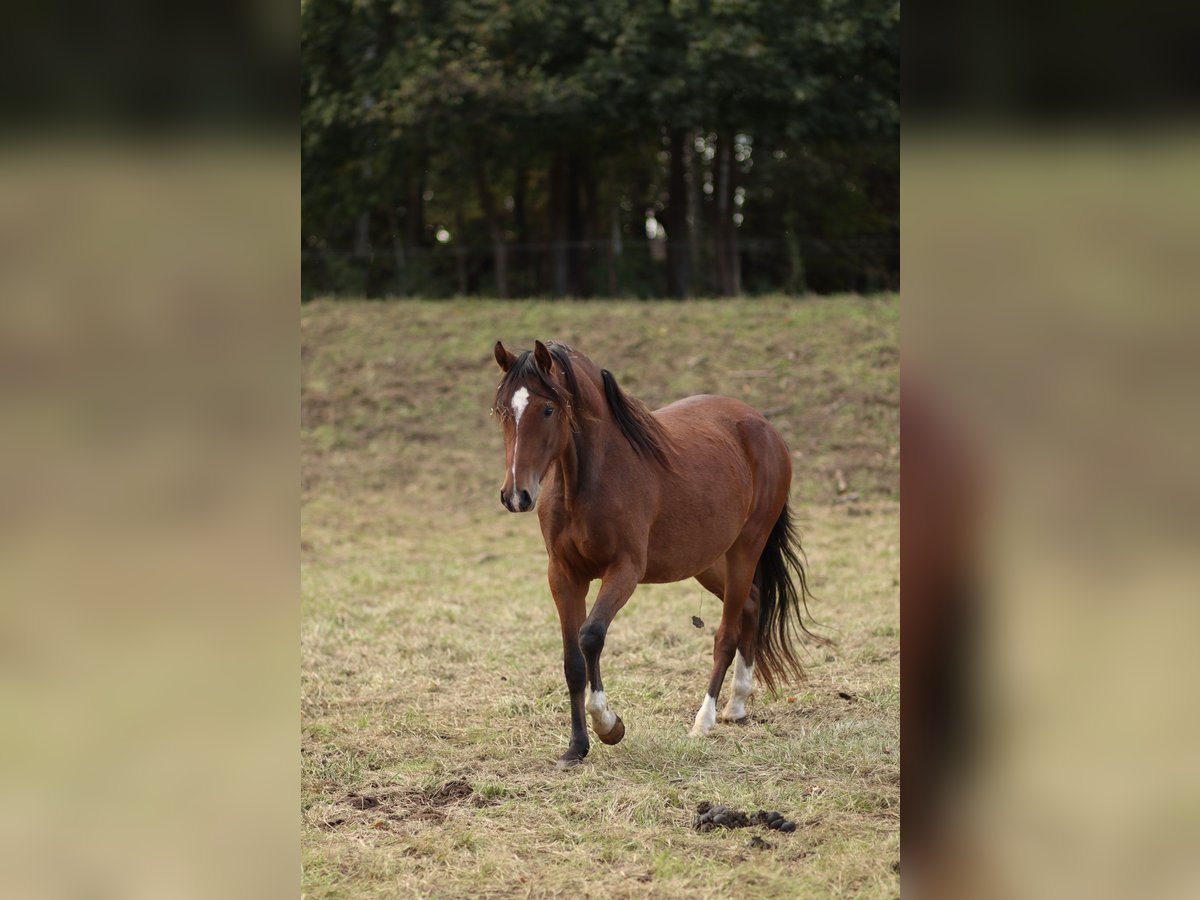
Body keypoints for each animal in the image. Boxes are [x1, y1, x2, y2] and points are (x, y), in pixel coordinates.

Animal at [492, 339, 824, 769]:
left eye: (548, 409)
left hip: (745, 549)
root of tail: (763, 427)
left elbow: (591, 636)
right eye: (502, 410)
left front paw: (609, 725)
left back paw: (705, 719)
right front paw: (576, 747)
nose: (516, 495)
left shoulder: (625, 570)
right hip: (709, 561)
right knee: (751, 605)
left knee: (727, 633)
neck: (587, 479)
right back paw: (737, 705)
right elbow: (572, 661)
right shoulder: (563, 575)